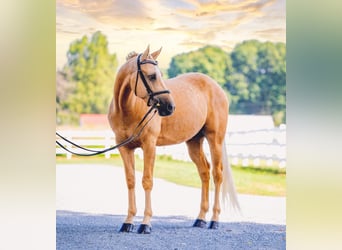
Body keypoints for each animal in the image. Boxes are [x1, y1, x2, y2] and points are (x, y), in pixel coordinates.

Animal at [108, 45, 239, 234]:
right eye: (152, 76)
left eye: (160, 74)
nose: (170, 107)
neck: (128, 108)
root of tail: (216, 87)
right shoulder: (124, 148)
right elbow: (131, 181)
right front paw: (128, 222)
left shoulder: (149, 145)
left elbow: (147, 181)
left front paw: (145, 224)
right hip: (194, 142)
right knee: (204, 172)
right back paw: (200, 219)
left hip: (215, 139)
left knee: (217, 174)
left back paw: (214, 220)